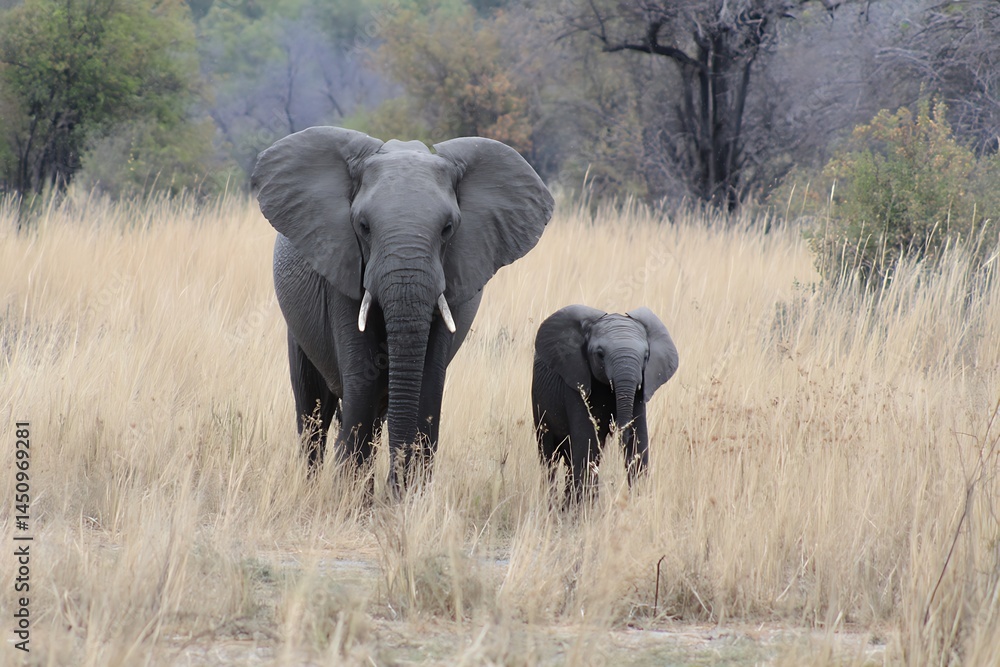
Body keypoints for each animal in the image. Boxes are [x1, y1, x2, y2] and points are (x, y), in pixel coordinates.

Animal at [251, 126, 554, 488]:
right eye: (363, 227)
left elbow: (428, 383)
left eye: (448, 228)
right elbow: (362, 384)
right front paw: (354, 497)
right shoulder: (343, 268)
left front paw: (406, 496)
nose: (394, 486)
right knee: (313, 411)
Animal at [531, 305, 678, 502]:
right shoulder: (575, 382)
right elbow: (586, 441)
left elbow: (638, 441)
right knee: (549, 457)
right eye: (600, 354)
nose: (620, 433)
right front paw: (584, 507)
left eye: (647, 356)